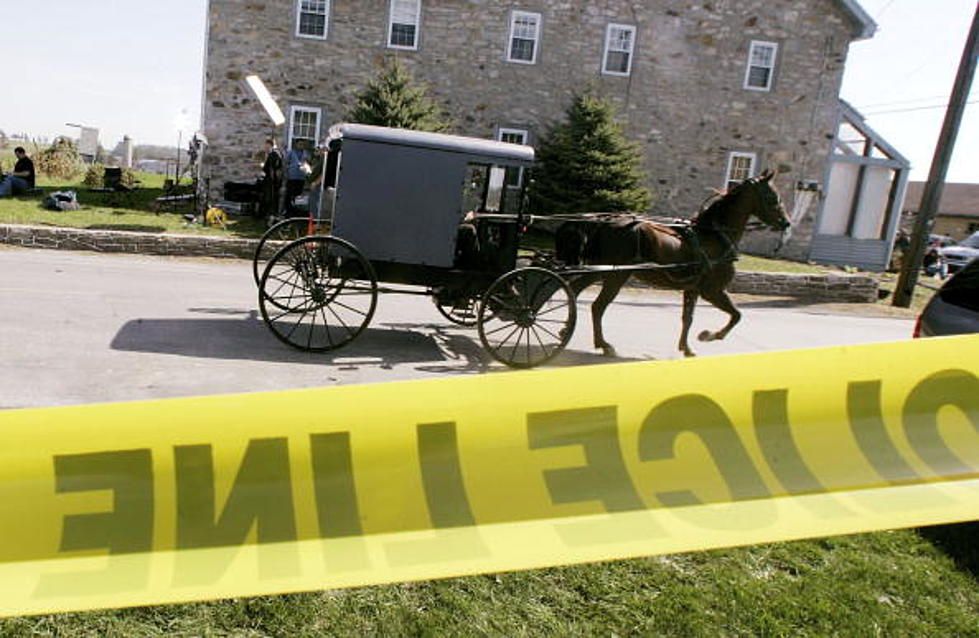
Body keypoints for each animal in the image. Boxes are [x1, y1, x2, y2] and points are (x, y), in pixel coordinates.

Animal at [556, 171, 792, 360]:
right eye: (772, 197)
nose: (786, 222)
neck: (714, 235)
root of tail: (602, 221)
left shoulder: (693, 289)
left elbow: (688, 318)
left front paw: (686, 348)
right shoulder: (712, 290)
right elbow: (736, 315)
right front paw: (709, 335)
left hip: (600, 271)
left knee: (574, 291)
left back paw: (566, 330)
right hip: (616, 275)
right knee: (597, 306)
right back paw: (603, 344)